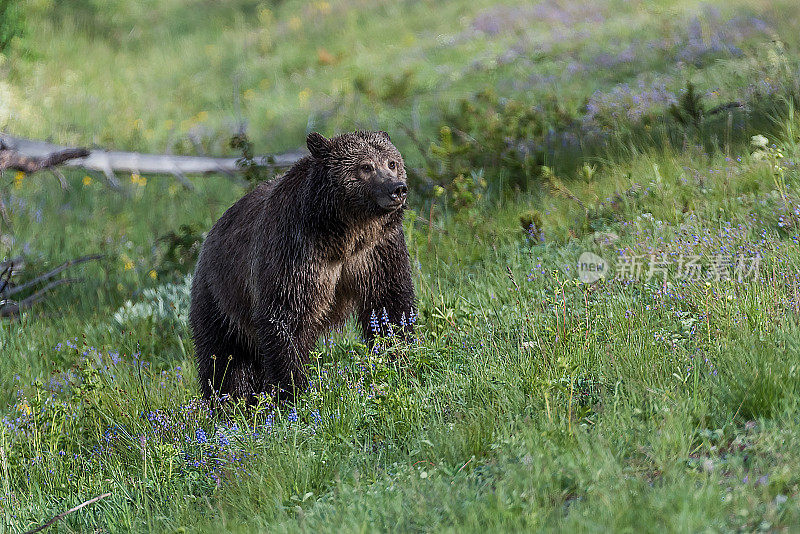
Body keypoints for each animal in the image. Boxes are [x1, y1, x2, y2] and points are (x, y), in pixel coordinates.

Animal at [188, 132, 412, 404]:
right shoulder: (296, 252)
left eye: (392, 162)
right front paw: (293, 390)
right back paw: (226, 403)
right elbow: (286, 318)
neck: (345, 232)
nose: (397, 189)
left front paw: (399, 353)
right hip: (220, 298)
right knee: (223, 360)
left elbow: (388, 303)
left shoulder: (376, 251)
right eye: (366, 167)